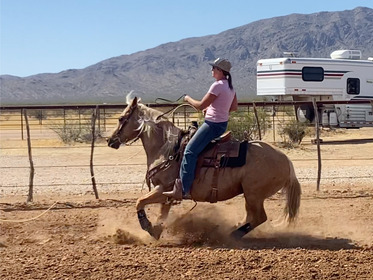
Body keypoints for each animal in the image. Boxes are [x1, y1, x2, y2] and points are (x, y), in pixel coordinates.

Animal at [107, 97, 300, 241]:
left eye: (121, 118)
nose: (110, 140)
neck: (167, 148)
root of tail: (287, 161)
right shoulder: (166, 196)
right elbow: (161, 216)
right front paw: (156, 231)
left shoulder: (164, 189)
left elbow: (139, 202)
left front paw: (148, 226)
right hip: (249, 195)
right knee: (250, 217)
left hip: (254, 195)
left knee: (259, 217)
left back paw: (231, 234)